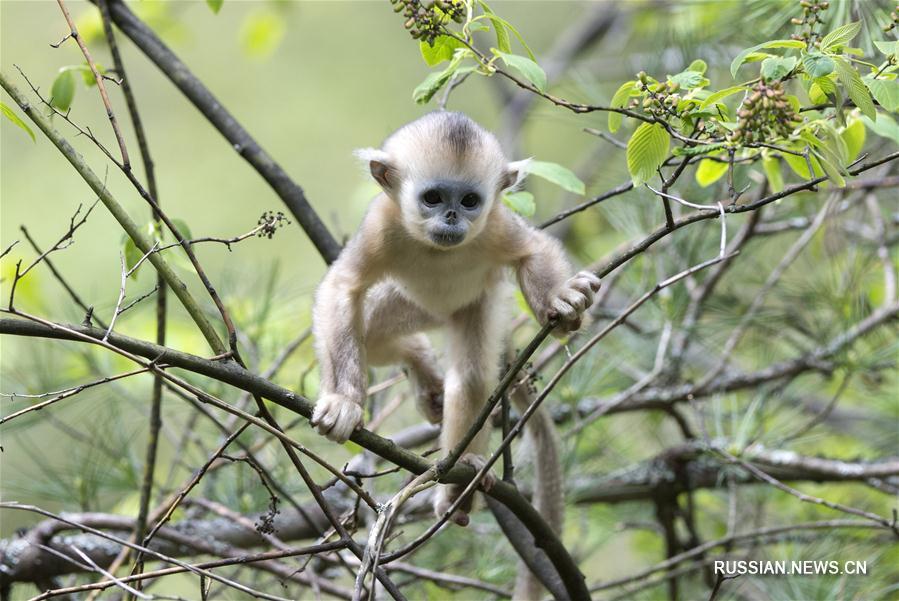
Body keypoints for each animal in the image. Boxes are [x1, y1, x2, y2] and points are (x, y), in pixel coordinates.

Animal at [312, 112, 600, 524]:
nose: (451, 217)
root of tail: (438, 314)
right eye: (432, 198)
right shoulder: (380, 226)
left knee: (471, 375)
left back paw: (461, 476)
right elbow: (343, 286)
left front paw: (562, 303)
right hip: (403, 303)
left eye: (469, 201)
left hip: (477, 304)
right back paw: (425, 375)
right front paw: (343, 402)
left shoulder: (495, 225)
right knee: (373, 336)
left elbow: (533, 250)